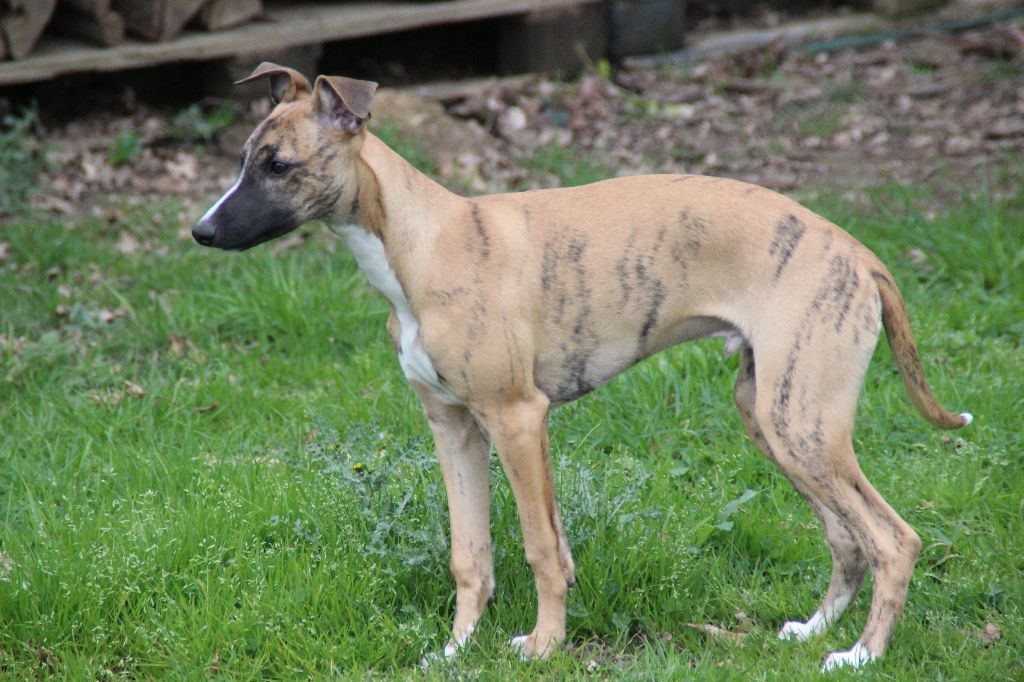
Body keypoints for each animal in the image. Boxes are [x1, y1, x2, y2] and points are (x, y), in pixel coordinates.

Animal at [193, 63, 971, 671]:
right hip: (772, 417)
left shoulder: (517, 418)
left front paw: (543, 646)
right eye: (244, 158)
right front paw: (456, 650)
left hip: (802, 424)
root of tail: (859, 254)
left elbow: (540, 547)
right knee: (847, 539)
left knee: (893, 539)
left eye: (279, 165)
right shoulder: (454, 427)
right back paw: (812, 632)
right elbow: (471, 554)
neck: (423, 241)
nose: (200, 231)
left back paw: (861, 654)